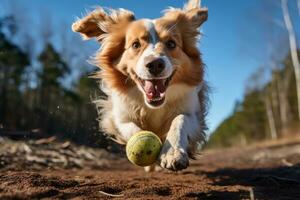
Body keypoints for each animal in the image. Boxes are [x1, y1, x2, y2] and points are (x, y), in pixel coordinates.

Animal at [72, 0, 209, 172]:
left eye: (171, 43)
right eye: (135, 45)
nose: (155, 64)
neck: (153, 106)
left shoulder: (192, 113)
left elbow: (180, 120)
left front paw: (173, 153)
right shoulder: (120, 118)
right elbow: (133, 129)